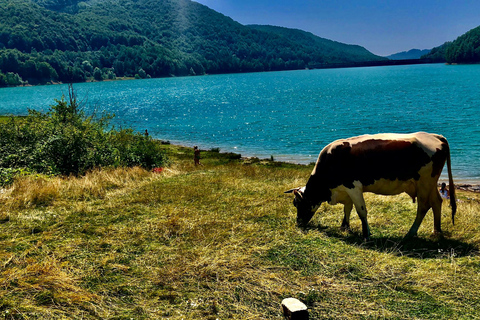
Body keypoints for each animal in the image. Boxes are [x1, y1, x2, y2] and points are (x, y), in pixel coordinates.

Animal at [284, 131, 458, 239]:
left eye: (298, 203)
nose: (298, 223)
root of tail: (435, 136)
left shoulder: (353, 186)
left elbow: (361, 210)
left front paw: (366, 233)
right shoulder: (346, 190)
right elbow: (348, 208)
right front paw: (345, 226)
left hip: (424, 182)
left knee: (423, 206)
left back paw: (411, 233)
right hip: (430, 183)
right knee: (437, 202)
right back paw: (436, 231)